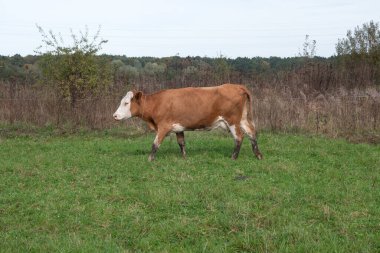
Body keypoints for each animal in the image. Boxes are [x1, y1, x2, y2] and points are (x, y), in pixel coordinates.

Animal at [111, 84, 262, 161]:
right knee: (252, 133)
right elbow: (181, 143)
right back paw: (258, 155)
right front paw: (184, 158)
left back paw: (233, 157)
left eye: (126, 103)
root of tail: (238, 86)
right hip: (242, 119)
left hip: (232, 120)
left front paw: (150, 159)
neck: (157, 103)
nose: (115, 115)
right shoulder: (178, 127)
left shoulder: (163, 127)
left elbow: (155, 144)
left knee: (239, 137)